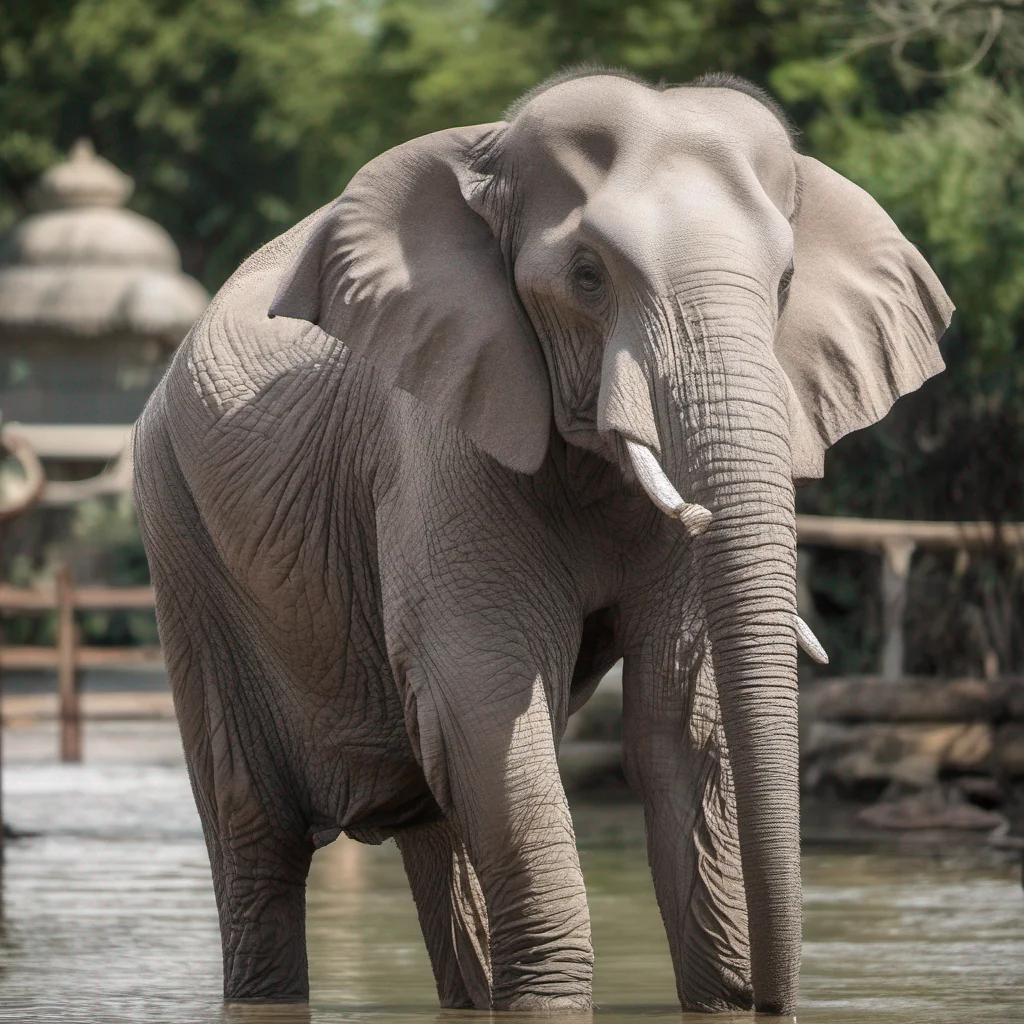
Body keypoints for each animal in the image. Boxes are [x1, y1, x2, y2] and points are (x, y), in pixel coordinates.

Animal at [132, 67, 952, 1015]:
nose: (775, 999)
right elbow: (486, 703)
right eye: (588, 277)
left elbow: (677, 723)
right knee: (259, 834)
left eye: (784, 284)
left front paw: (719, 998)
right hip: (179, 537)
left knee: (436, 811)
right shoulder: (444, 444)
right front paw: (559, 1005)